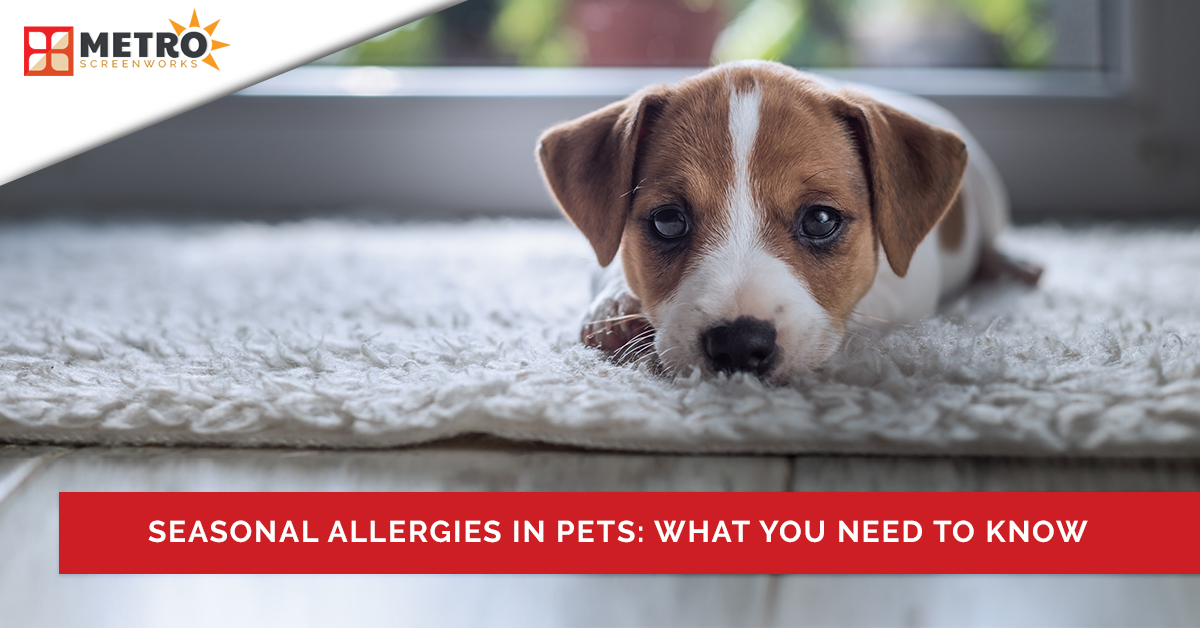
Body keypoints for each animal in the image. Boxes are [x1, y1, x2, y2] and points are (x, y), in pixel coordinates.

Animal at [540, 61, 1036, 384]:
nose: (739, 344)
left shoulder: (907, 287)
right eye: (667, 221)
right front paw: (614, 307)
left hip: (990, 194)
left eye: (820, 219)